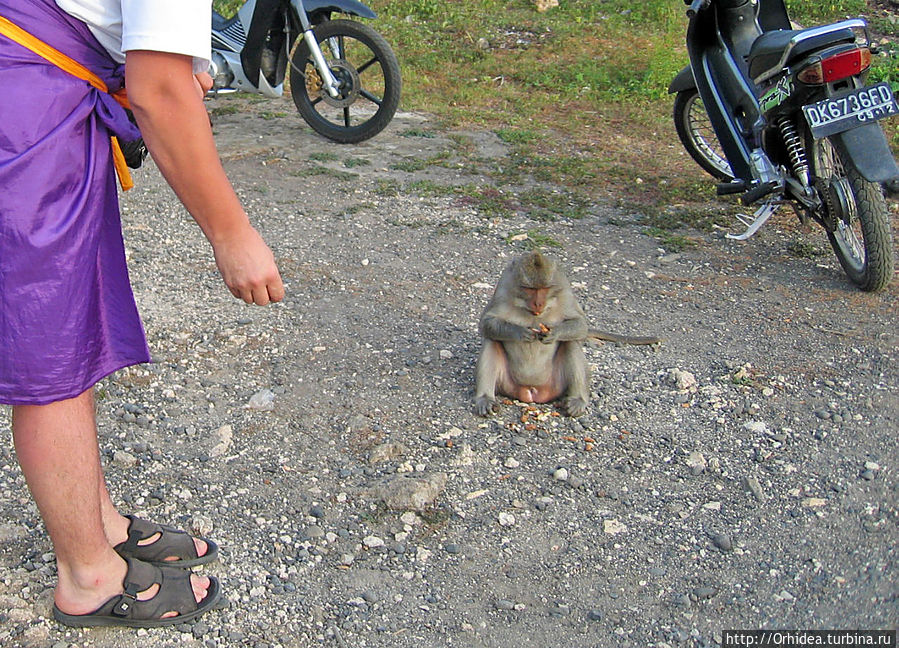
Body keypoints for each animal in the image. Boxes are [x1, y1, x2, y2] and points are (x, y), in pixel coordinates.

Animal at [472, 251, 660, 418]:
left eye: (545, 288)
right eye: (530, 289)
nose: (538, 303)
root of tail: (531, 392)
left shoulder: (565, 290)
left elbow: (580, 325)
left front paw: (554, 333)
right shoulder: (503, 288)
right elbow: (486, 324)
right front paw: (520, 332)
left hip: (556, 384)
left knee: (571, 343)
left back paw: (577, 399)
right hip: (508, 383)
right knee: (492, 341)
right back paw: (485, 398)